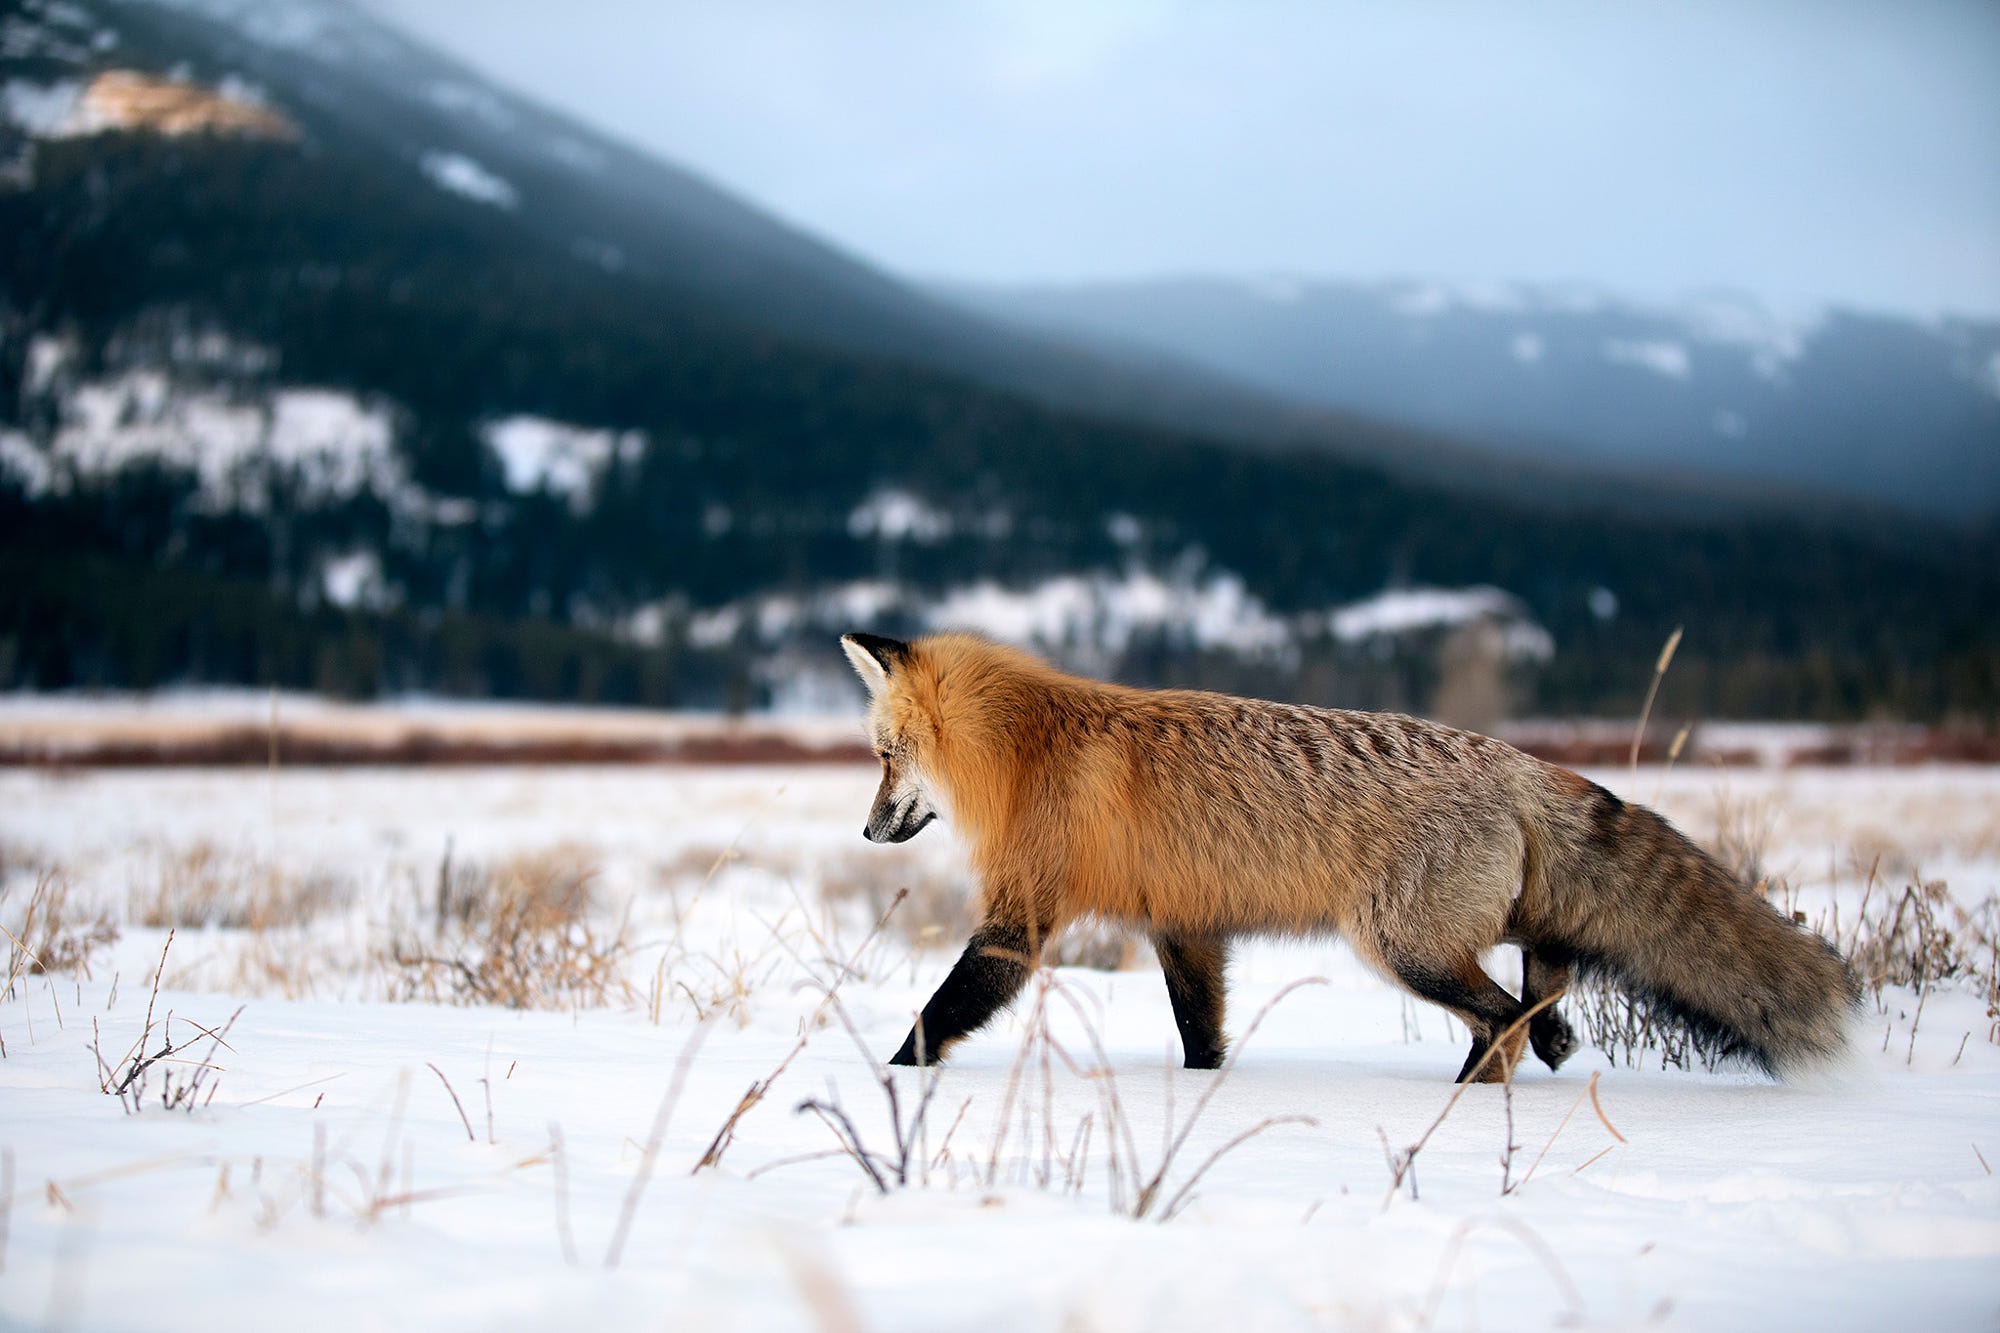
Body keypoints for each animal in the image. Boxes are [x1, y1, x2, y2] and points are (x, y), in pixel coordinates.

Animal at [840, 628, 1856, 1072]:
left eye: (884, 756)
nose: (866, 829)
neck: (1028, 748)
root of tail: (1520, 761)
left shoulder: (1022, 917)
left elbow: (939, 1009)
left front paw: (889, 1081)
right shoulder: (1185, 922)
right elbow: (1199, 1027)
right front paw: (1205, 1090)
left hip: (1402, 944)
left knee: (1501, 1018)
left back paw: (1472, 1100)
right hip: (1480, 931)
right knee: (1548, 986)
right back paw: (1554, 1046)